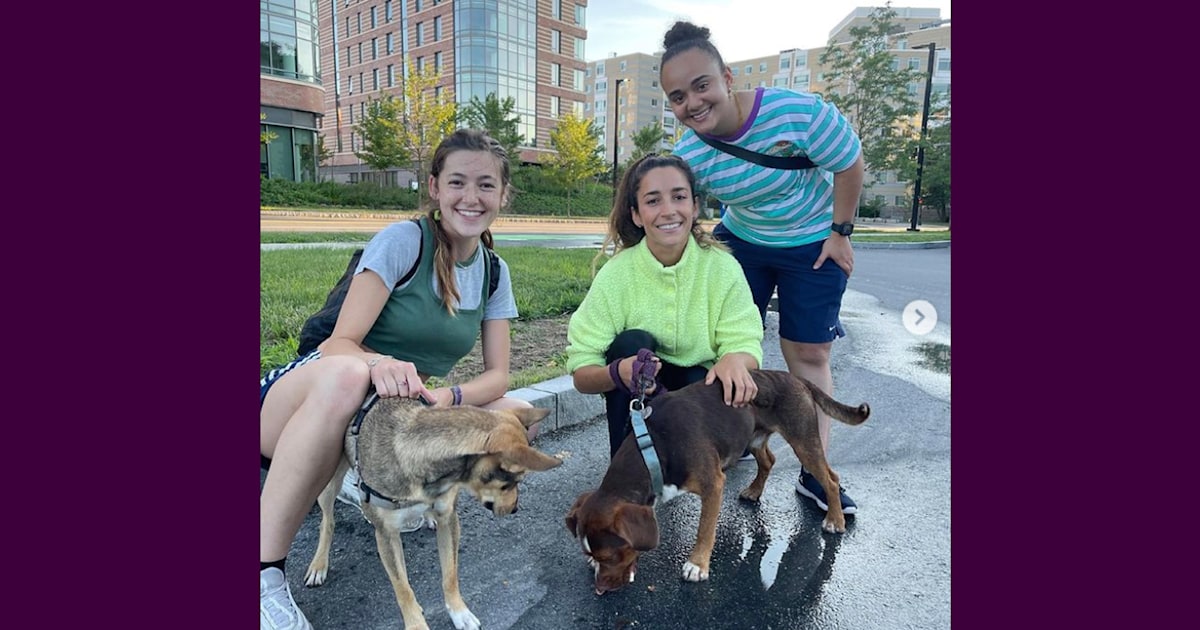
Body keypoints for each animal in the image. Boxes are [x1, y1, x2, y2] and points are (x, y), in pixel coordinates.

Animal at [302, 398, 559, 628]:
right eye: (509, 483)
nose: (515, 509)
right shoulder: (385, 535)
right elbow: (403, 589)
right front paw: (416, 623)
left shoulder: (449, 519)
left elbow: (450, 575)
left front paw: (459, 612)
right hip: (329, 483)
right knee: (328, 522)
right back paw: (319, 564)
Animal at [566, 364, 868, 592]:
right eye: (590, 555)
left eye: (609, 555)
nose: (599, 589)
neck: (653, 446)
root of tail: (795, 378)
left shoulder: (713, 484)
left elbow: (705, 529)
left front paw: (697, 565)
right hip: (753, 437)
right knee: (769, 460)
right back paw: (754, 491)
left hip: (802, 439)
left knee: (830, 478)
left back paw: (835, 519)